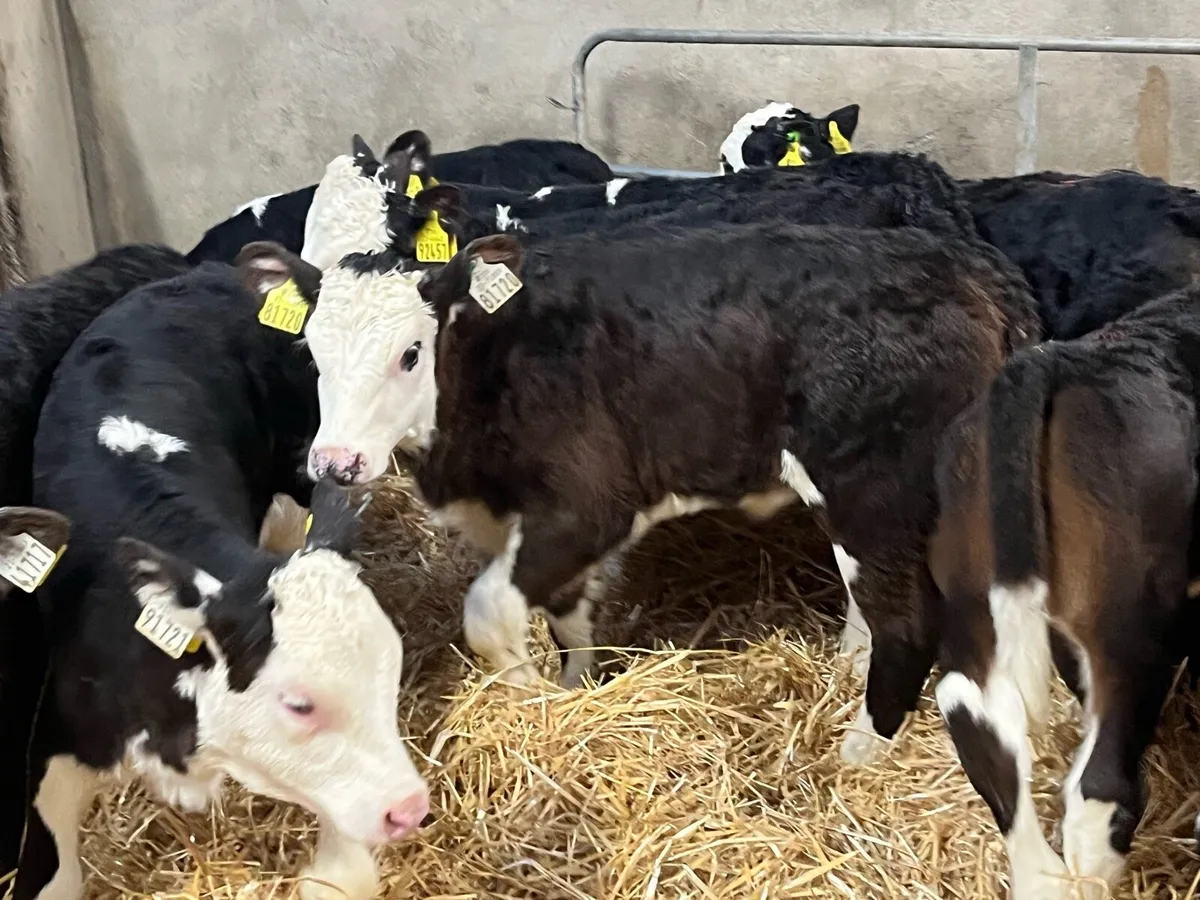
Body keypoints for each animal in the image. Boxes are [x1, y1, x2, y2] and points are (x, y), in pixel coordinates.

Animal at [295, 222, 1039, 768]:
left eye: (410, 353)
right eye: (312, 356)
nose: (336, 462)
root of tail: (969, 264)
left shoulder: (591, 502)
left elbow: (489, 613)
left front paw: (530, 703)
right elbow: (570, 616)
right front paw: (576, 690)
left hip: (873, 484)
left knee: (907, 623)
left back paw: (858, 753)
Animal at [930, 284, 1200, 899]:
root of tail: (1050, 361)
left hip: (974, 597)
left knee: (977, 713)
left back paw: (1040, 878)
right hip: (1129, 624)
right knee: (1100, 788)